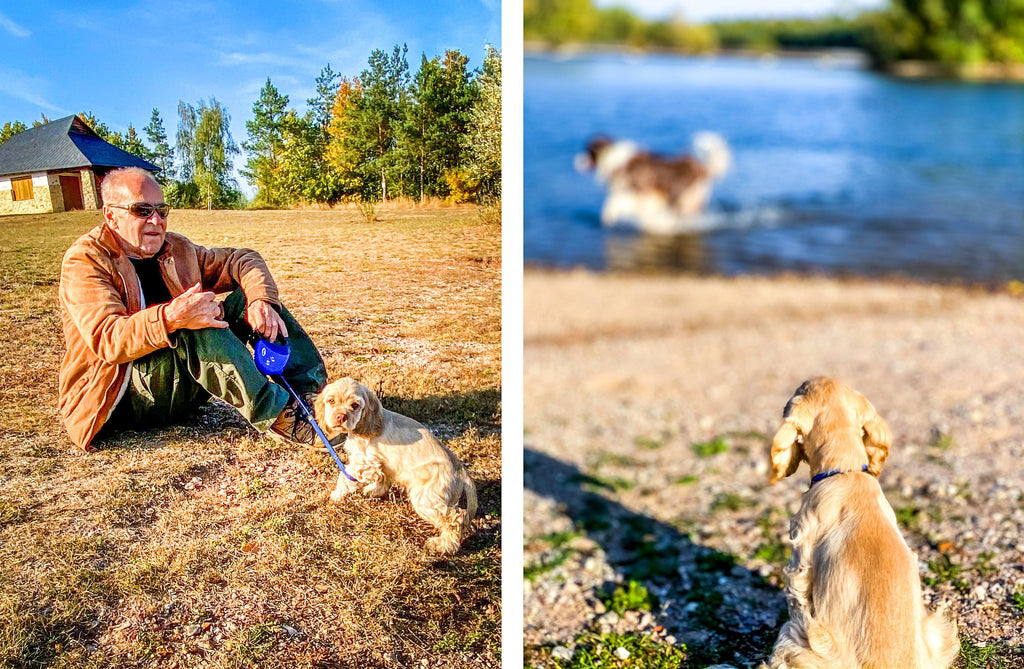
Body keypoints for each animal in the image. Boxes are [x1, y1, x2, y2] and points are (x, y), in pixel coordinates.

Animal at [313, 374, 477, 553]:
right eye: (331, 400)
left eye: (355, 405)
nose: (341, 417)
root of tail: (461, 471)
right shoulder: (384, 465)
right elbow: (382, 480)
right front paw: (371, 491)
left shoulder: (365, 462)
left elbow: (345, 477)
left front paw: (336, 494)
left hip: (426, 499)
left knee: (456, 518)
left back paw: (444, 545)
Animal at [577, 132, 729, 233]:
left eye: (588, 150)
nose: (576, 161)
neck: (611, 157)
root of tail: (701, 168)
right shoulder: (648, 196)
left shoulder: (637, 192)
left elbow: (613, 202)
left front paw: (608, 217)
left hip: (677, 193)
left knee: (676, 214)